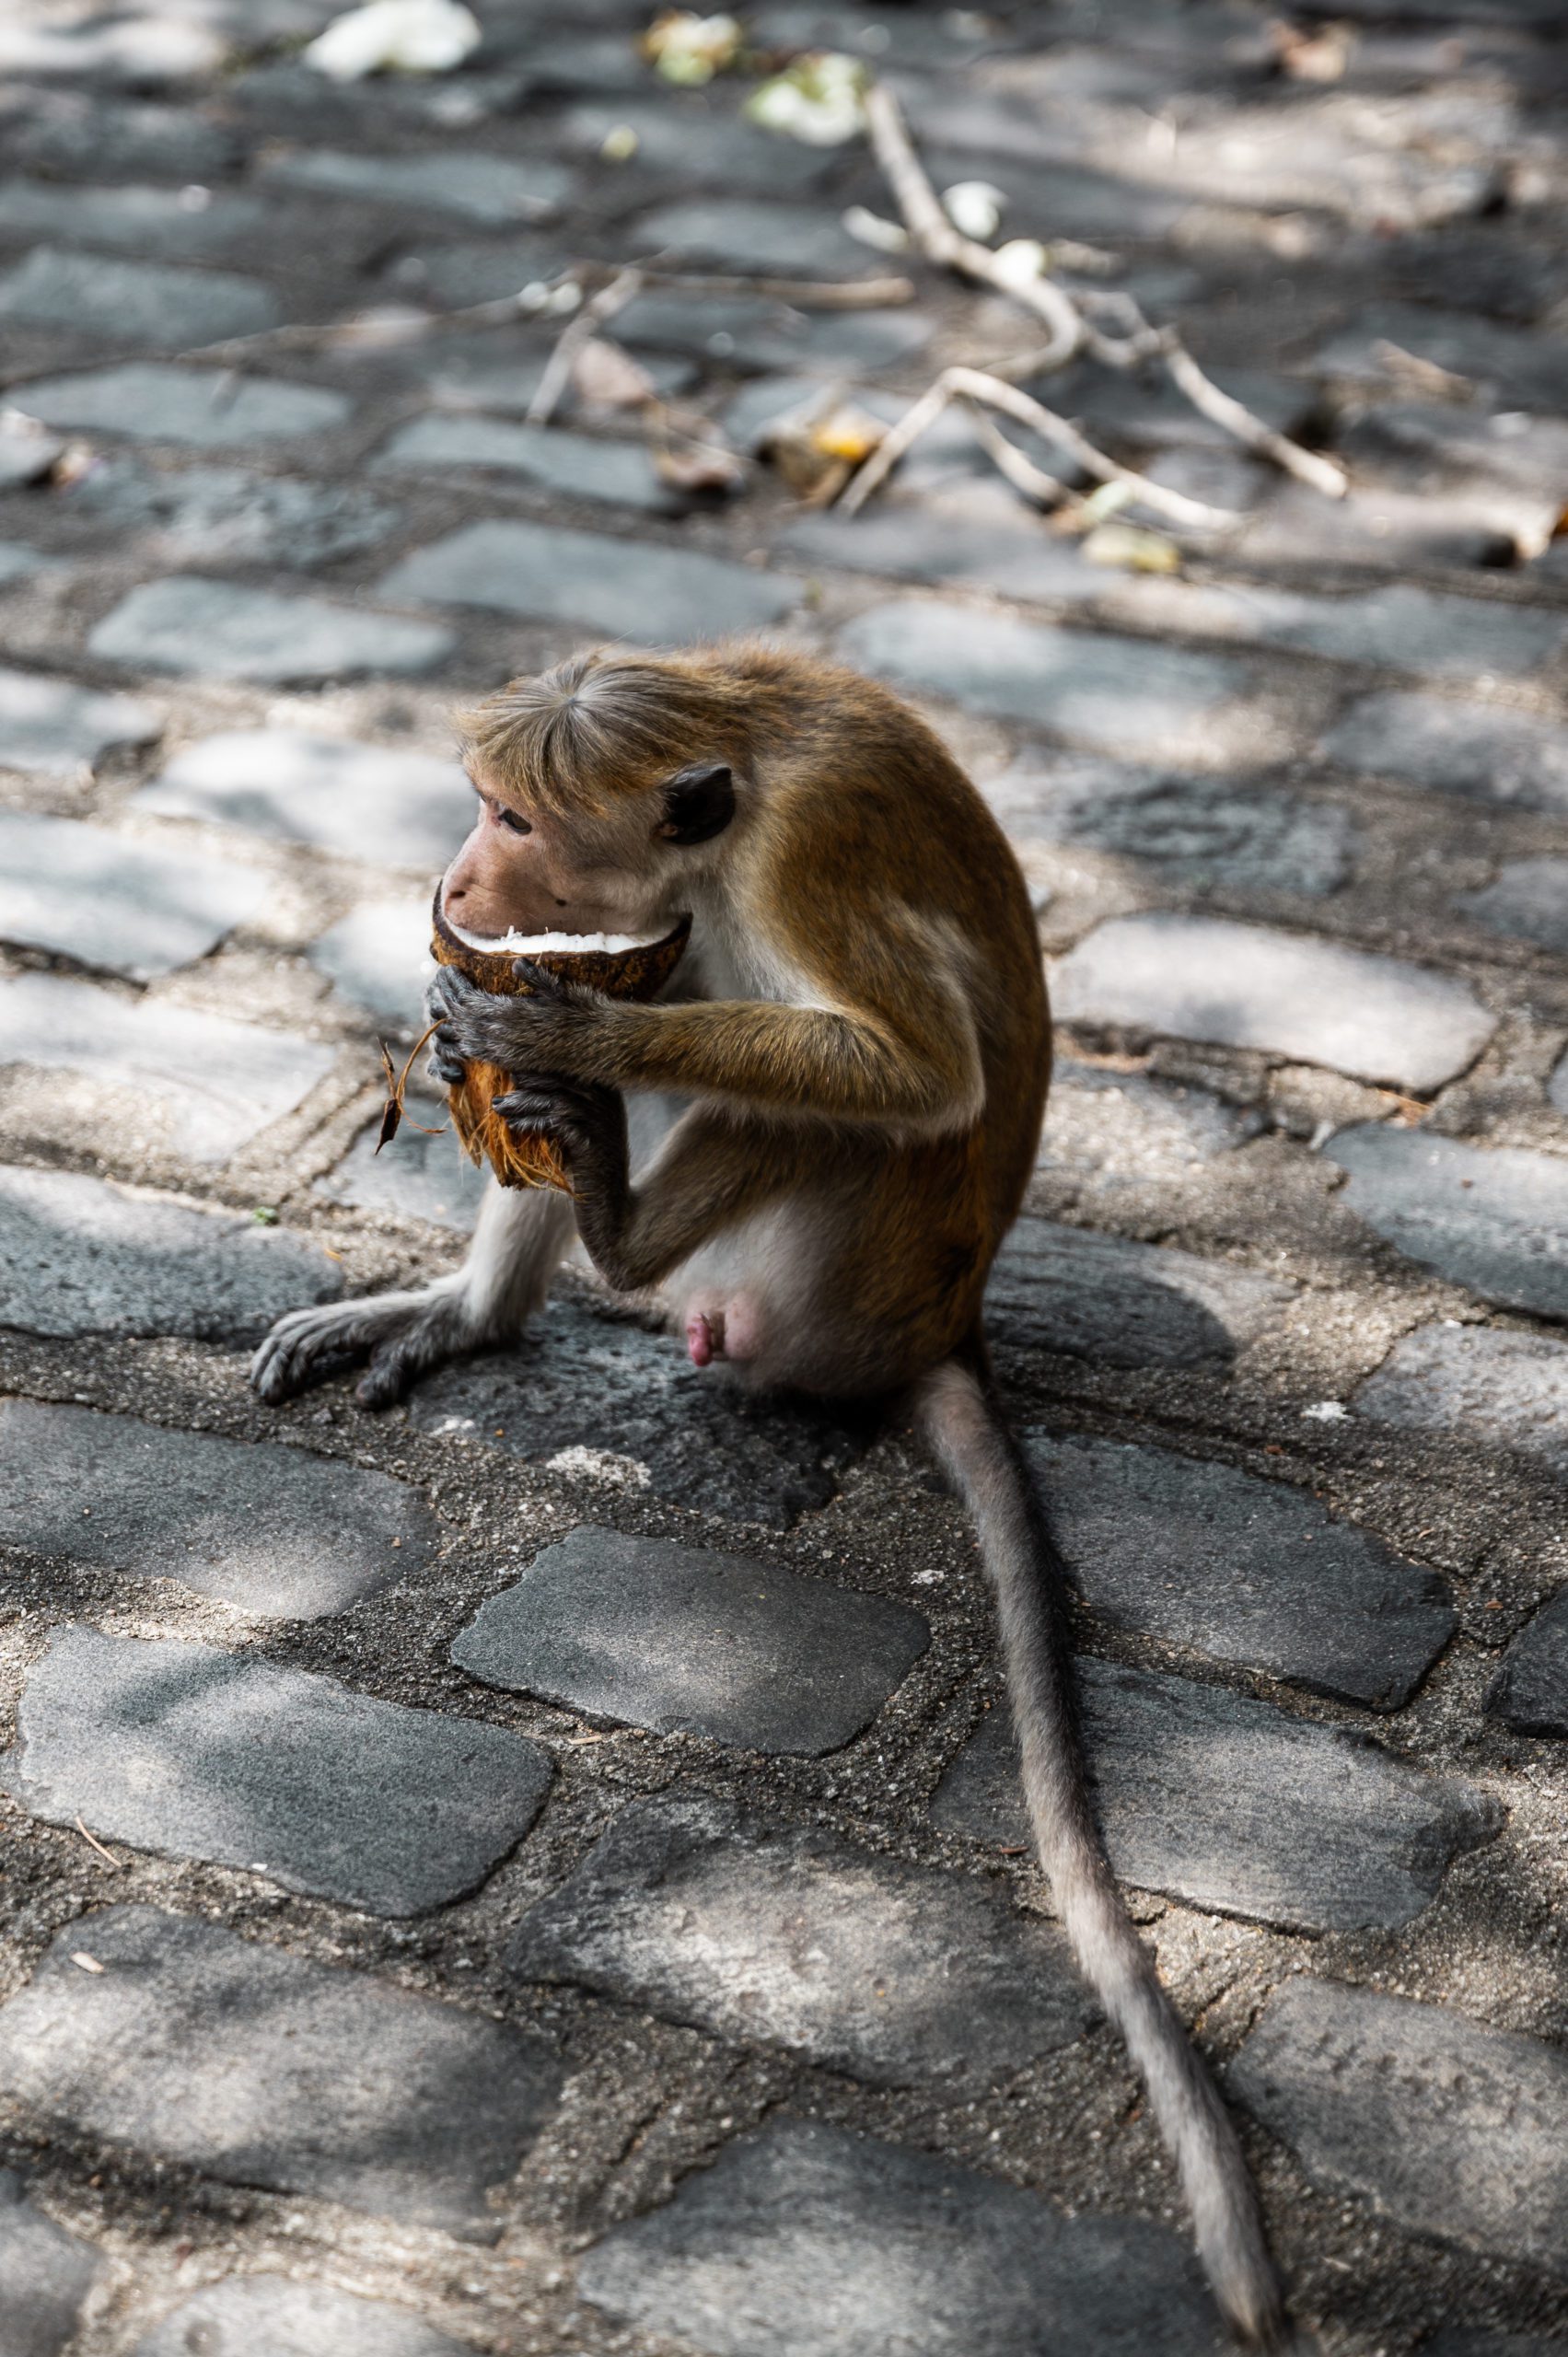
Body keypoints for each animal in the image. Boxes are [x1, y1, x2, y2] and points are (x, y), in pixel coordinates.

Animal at [253, 645, 1283, 2357]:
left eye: (514, 817)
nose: (458, 879)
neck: (719, 815)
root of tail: (941, 1325)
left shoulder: (799, 865)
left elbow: (915, 1067)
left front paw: (577, 1032)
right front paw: (497, 1053)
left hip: (843, 1270)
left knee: (815, 1091)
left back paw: (612, 1214)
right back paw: (484, 1308)